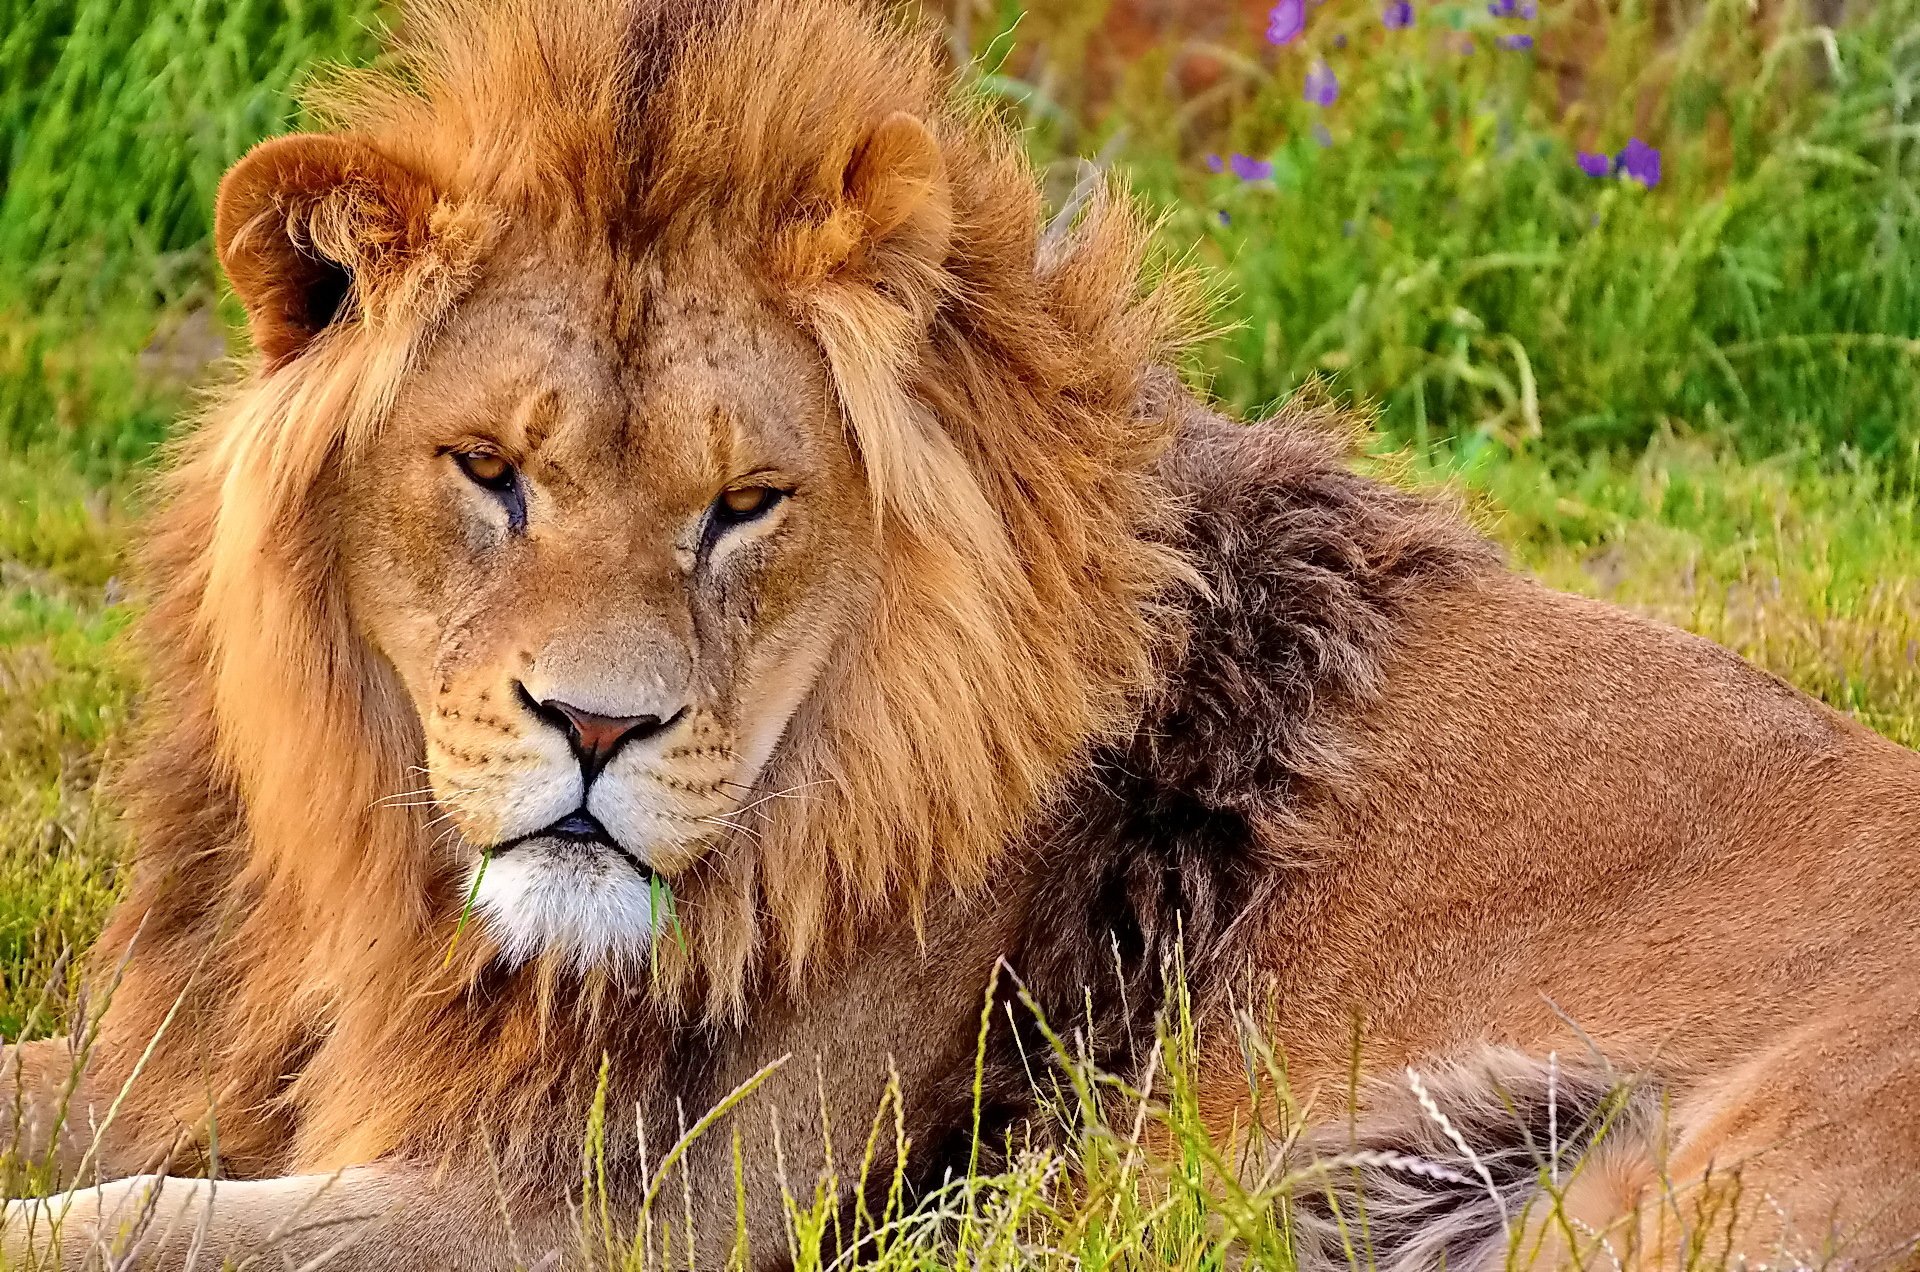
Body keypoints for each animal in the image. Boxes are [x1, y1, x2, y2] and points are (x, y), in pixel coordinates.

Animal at [3, 2, 1920, 1272]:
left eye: (746, 503)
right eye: (489, 471)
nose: (598, 733)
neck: (397, 887)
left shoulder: (617, 1213)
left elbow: (124, 1222)